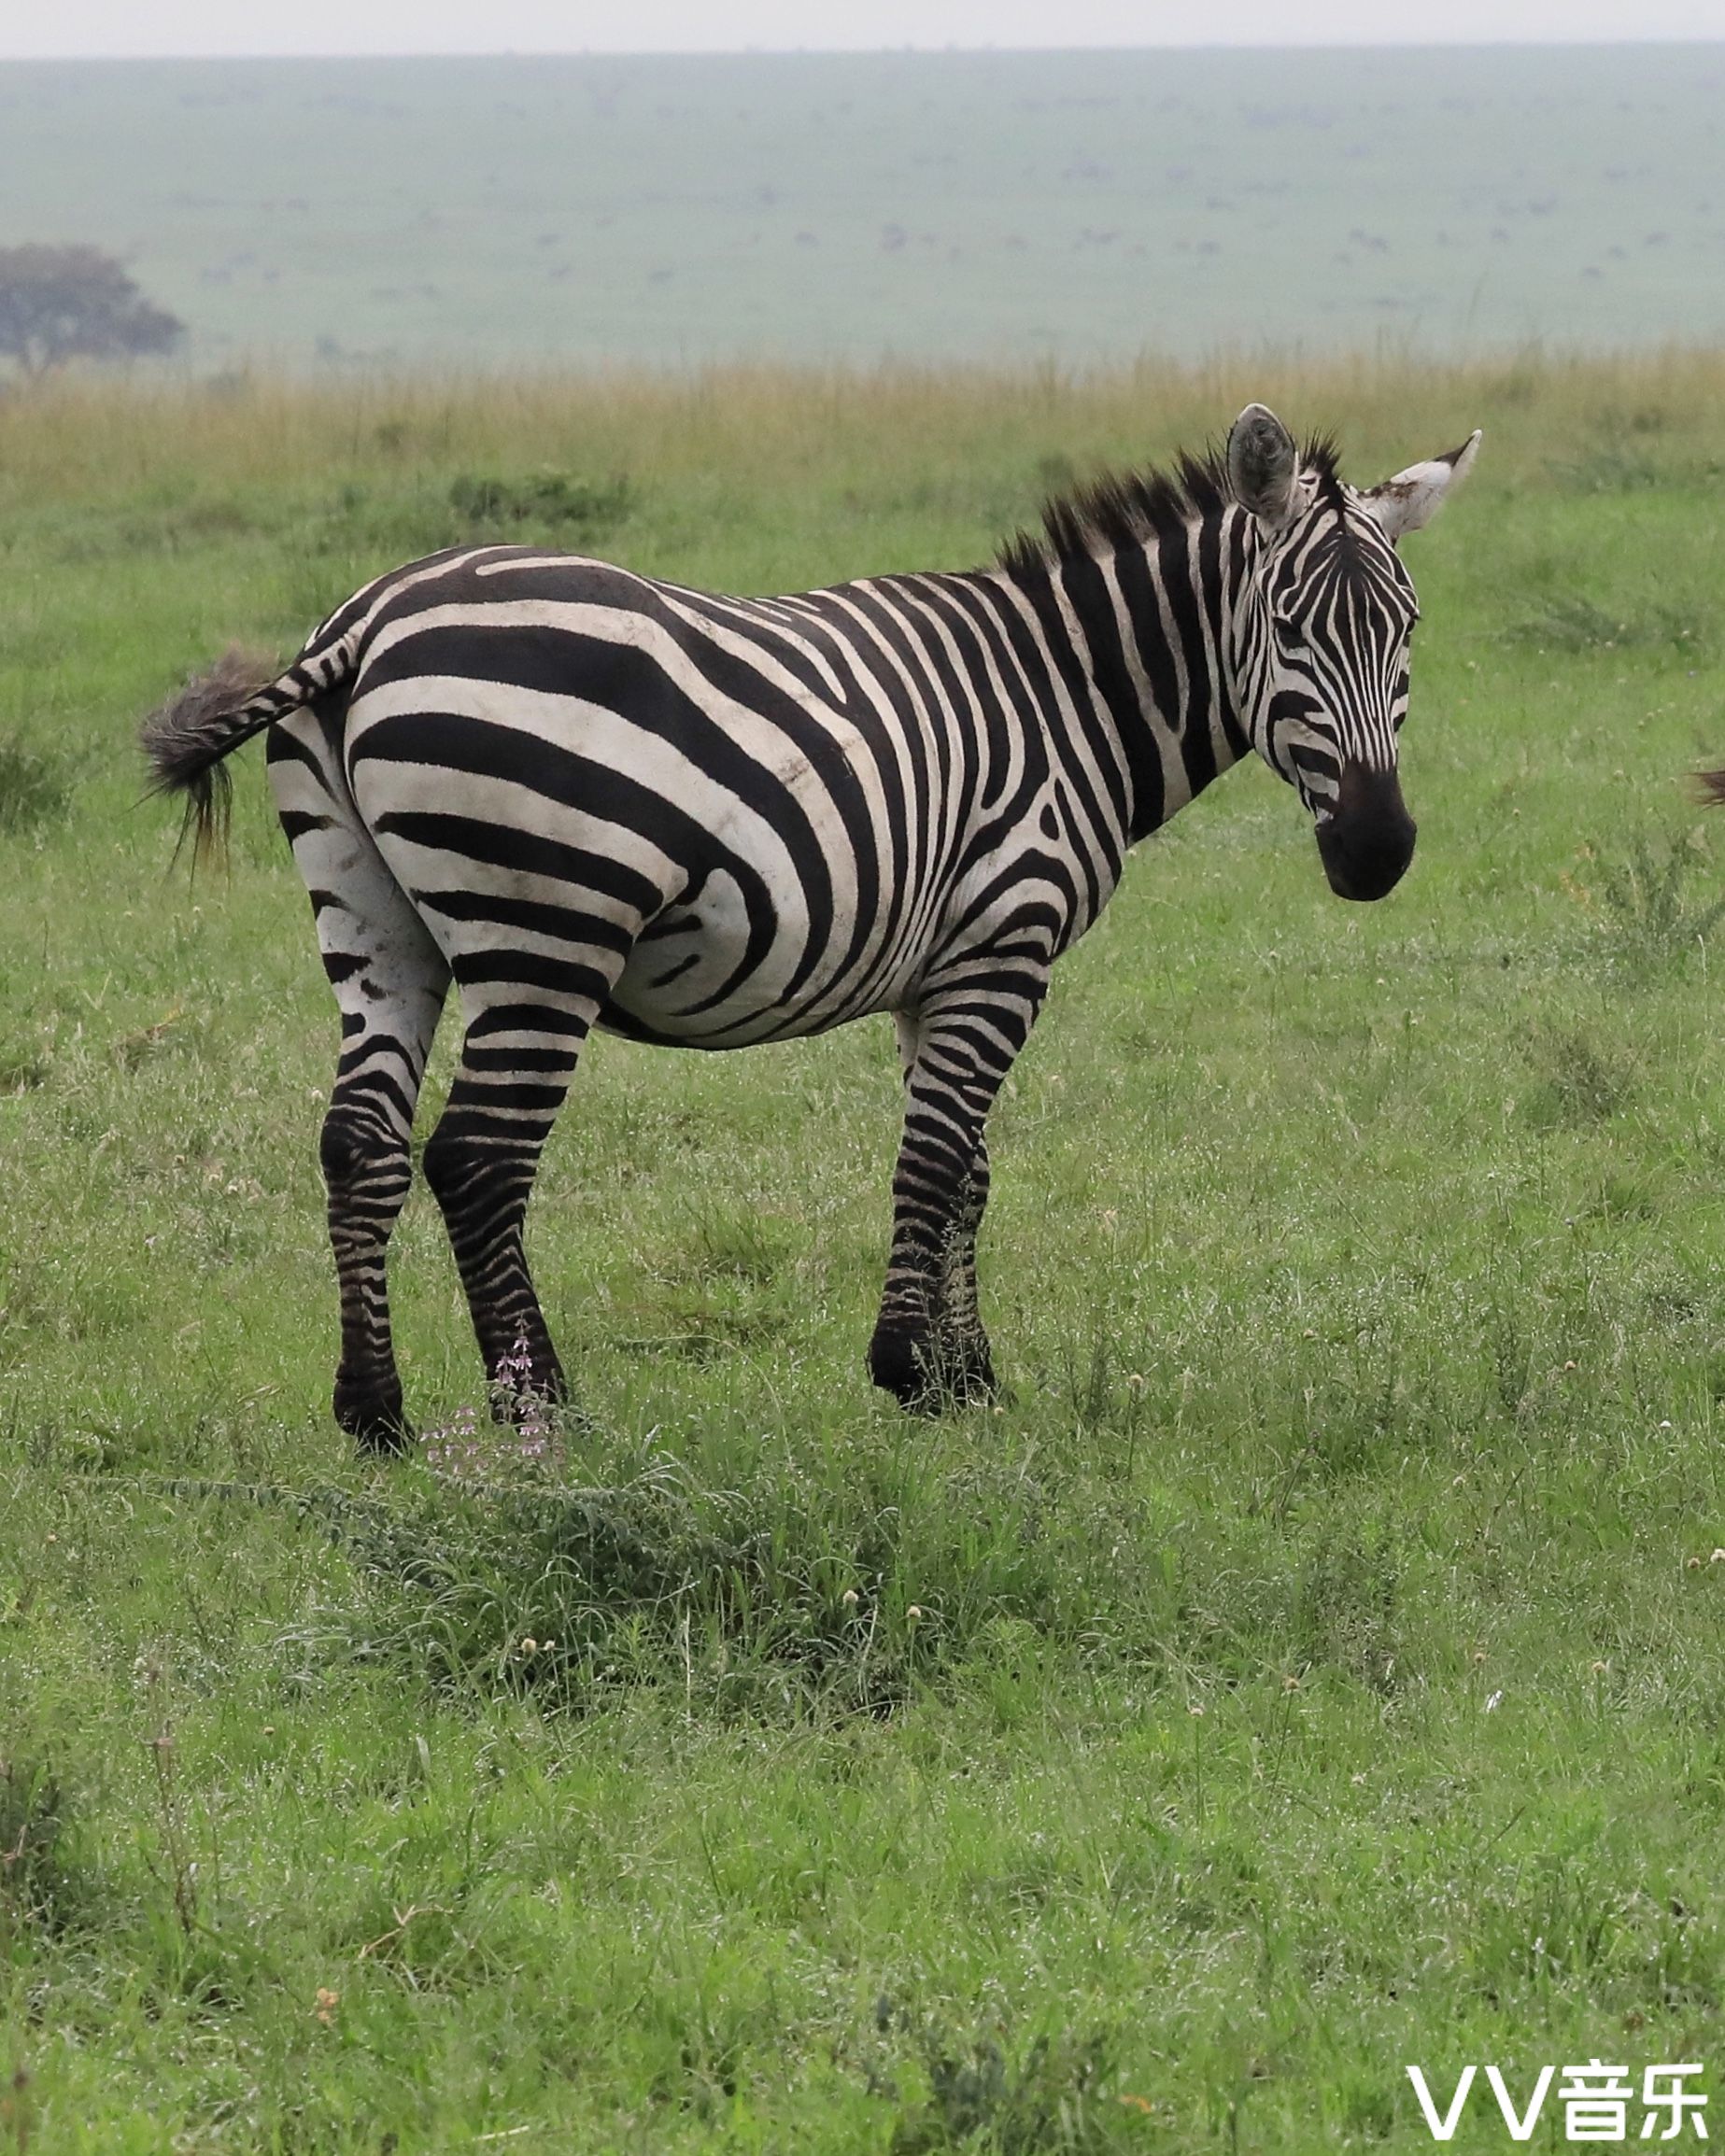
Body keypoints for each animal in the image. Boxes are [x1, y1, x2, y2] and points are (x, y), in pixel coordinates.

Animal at [141, 405, 1475, 1448]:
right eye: (1290, 631)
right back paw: (541, 1411)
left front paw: (967, 1374)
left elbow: (967, 1170)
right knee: (476, 1157)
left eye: (1407, 632)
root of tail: (364, 622)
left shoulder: (942, 968)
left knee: (358, 1139)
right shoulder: (1005, 943)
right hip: (546, 930)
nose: (1377, 853)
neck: (1066, 695)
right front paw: (909, 1372)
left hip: (374, 921)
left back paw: (375, 1413)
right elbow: (935, 1159)